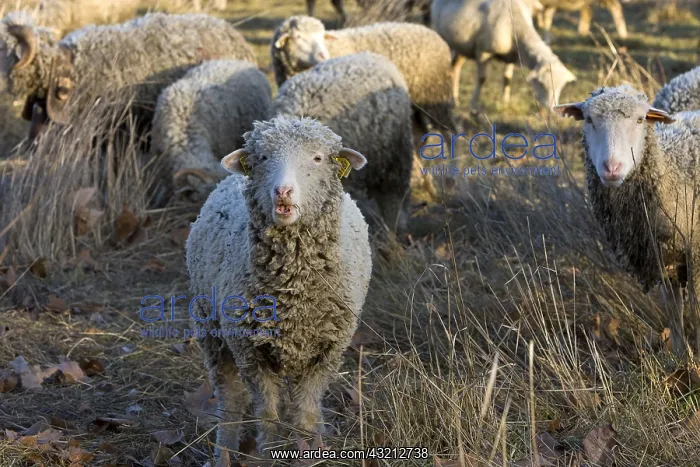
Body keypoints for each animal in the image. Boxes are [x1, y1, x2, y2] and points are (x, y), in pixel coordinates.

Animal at [185, 115, 372, 457]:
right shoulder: (250, 350)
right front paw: (267, 453)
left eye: (318, 158)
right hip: (210, 327)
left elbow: (306, 414)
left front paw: (311, 449)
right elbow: (268, 415)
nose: (283, 191)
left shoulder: (327, 351)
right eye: (261, 158)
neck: (293, 290)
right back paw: (224, 452)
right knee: (230, 397)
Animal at [270, 15, 456, 132]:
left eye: (323, 36)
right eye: (298, 37)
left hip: (435, 93)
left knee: (450, 130)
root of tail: (434, 33)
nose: (324, 55)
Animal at [431, 0, 577, 110]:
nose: (552, 107)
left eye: (561, 87)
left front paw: (506, 101)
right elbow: (482, 79)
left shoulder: (512, 55)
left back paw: (454, 100)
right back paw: (452, 100)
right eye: (541, 83)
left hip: (463, 46)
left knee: (455, 68)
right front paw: (474, 107)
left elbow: (507, 78)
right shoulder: (483, 52)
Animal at [554, 85, 700, 355]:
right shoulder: (662, 255)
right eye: (589, 120)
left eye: (640, 120)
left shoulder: (694, 253)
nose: (612, 167)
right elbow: (674, 309)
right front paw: (679, 355)